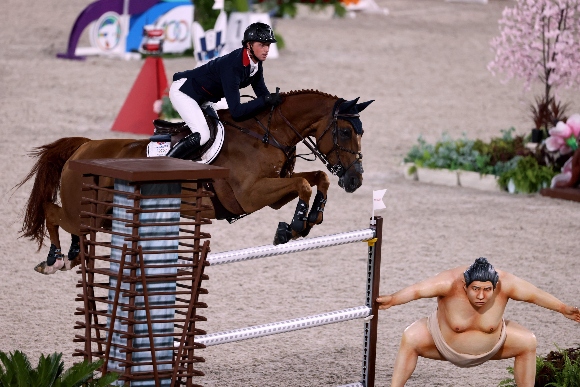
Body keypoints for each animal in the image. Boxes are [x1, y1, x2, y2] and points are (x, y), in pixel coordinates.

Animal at [18, 89, 374, 274]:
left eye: (360, 132)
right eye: (345, 131)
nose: (355, 180)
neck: (264, 133)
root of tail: (83, 147)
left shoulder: (272, 193)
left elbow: (317, 179)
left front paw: (309, 219)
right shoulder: (250, 194)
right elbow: (304, 184)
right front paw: (294, 226)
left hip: (101, 214)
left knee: (72, 225)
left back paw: (73, 253)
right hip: (85, 211)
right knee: (51, 211)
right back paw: (54, 259)